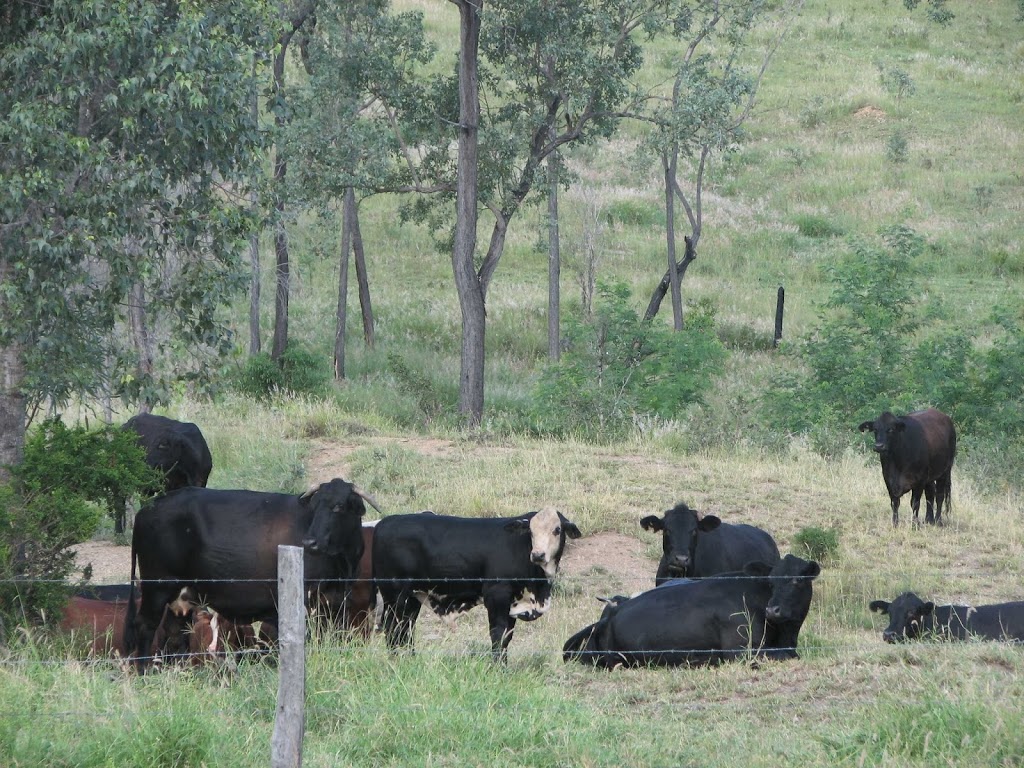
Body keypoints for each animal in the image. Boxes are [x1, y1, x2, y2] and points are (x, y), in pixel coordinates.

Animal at [120, 479, 376, 671]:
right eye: (315, 506)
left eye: (338, 506)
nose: (310, 542)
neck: (342, 561)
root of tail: (148, 508)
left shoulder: (336, 602)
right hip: (158, 587)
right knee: (145, 625)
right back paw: (144, 671)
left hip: (181, 596)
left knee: (175, 632)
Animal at [374, 507, 585, 663]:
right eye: (531, 532)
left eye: (557, 530)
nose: (538, 554)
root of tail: (384, 523)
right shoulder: (497, 595)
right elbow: (498, 634)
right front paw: (498, 669)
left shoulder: (513, 603)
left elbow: (507, 637)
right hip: (394, 595)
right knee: (392, 628)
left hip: (411, 598)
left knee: (405, 628)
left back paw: (409, 660)